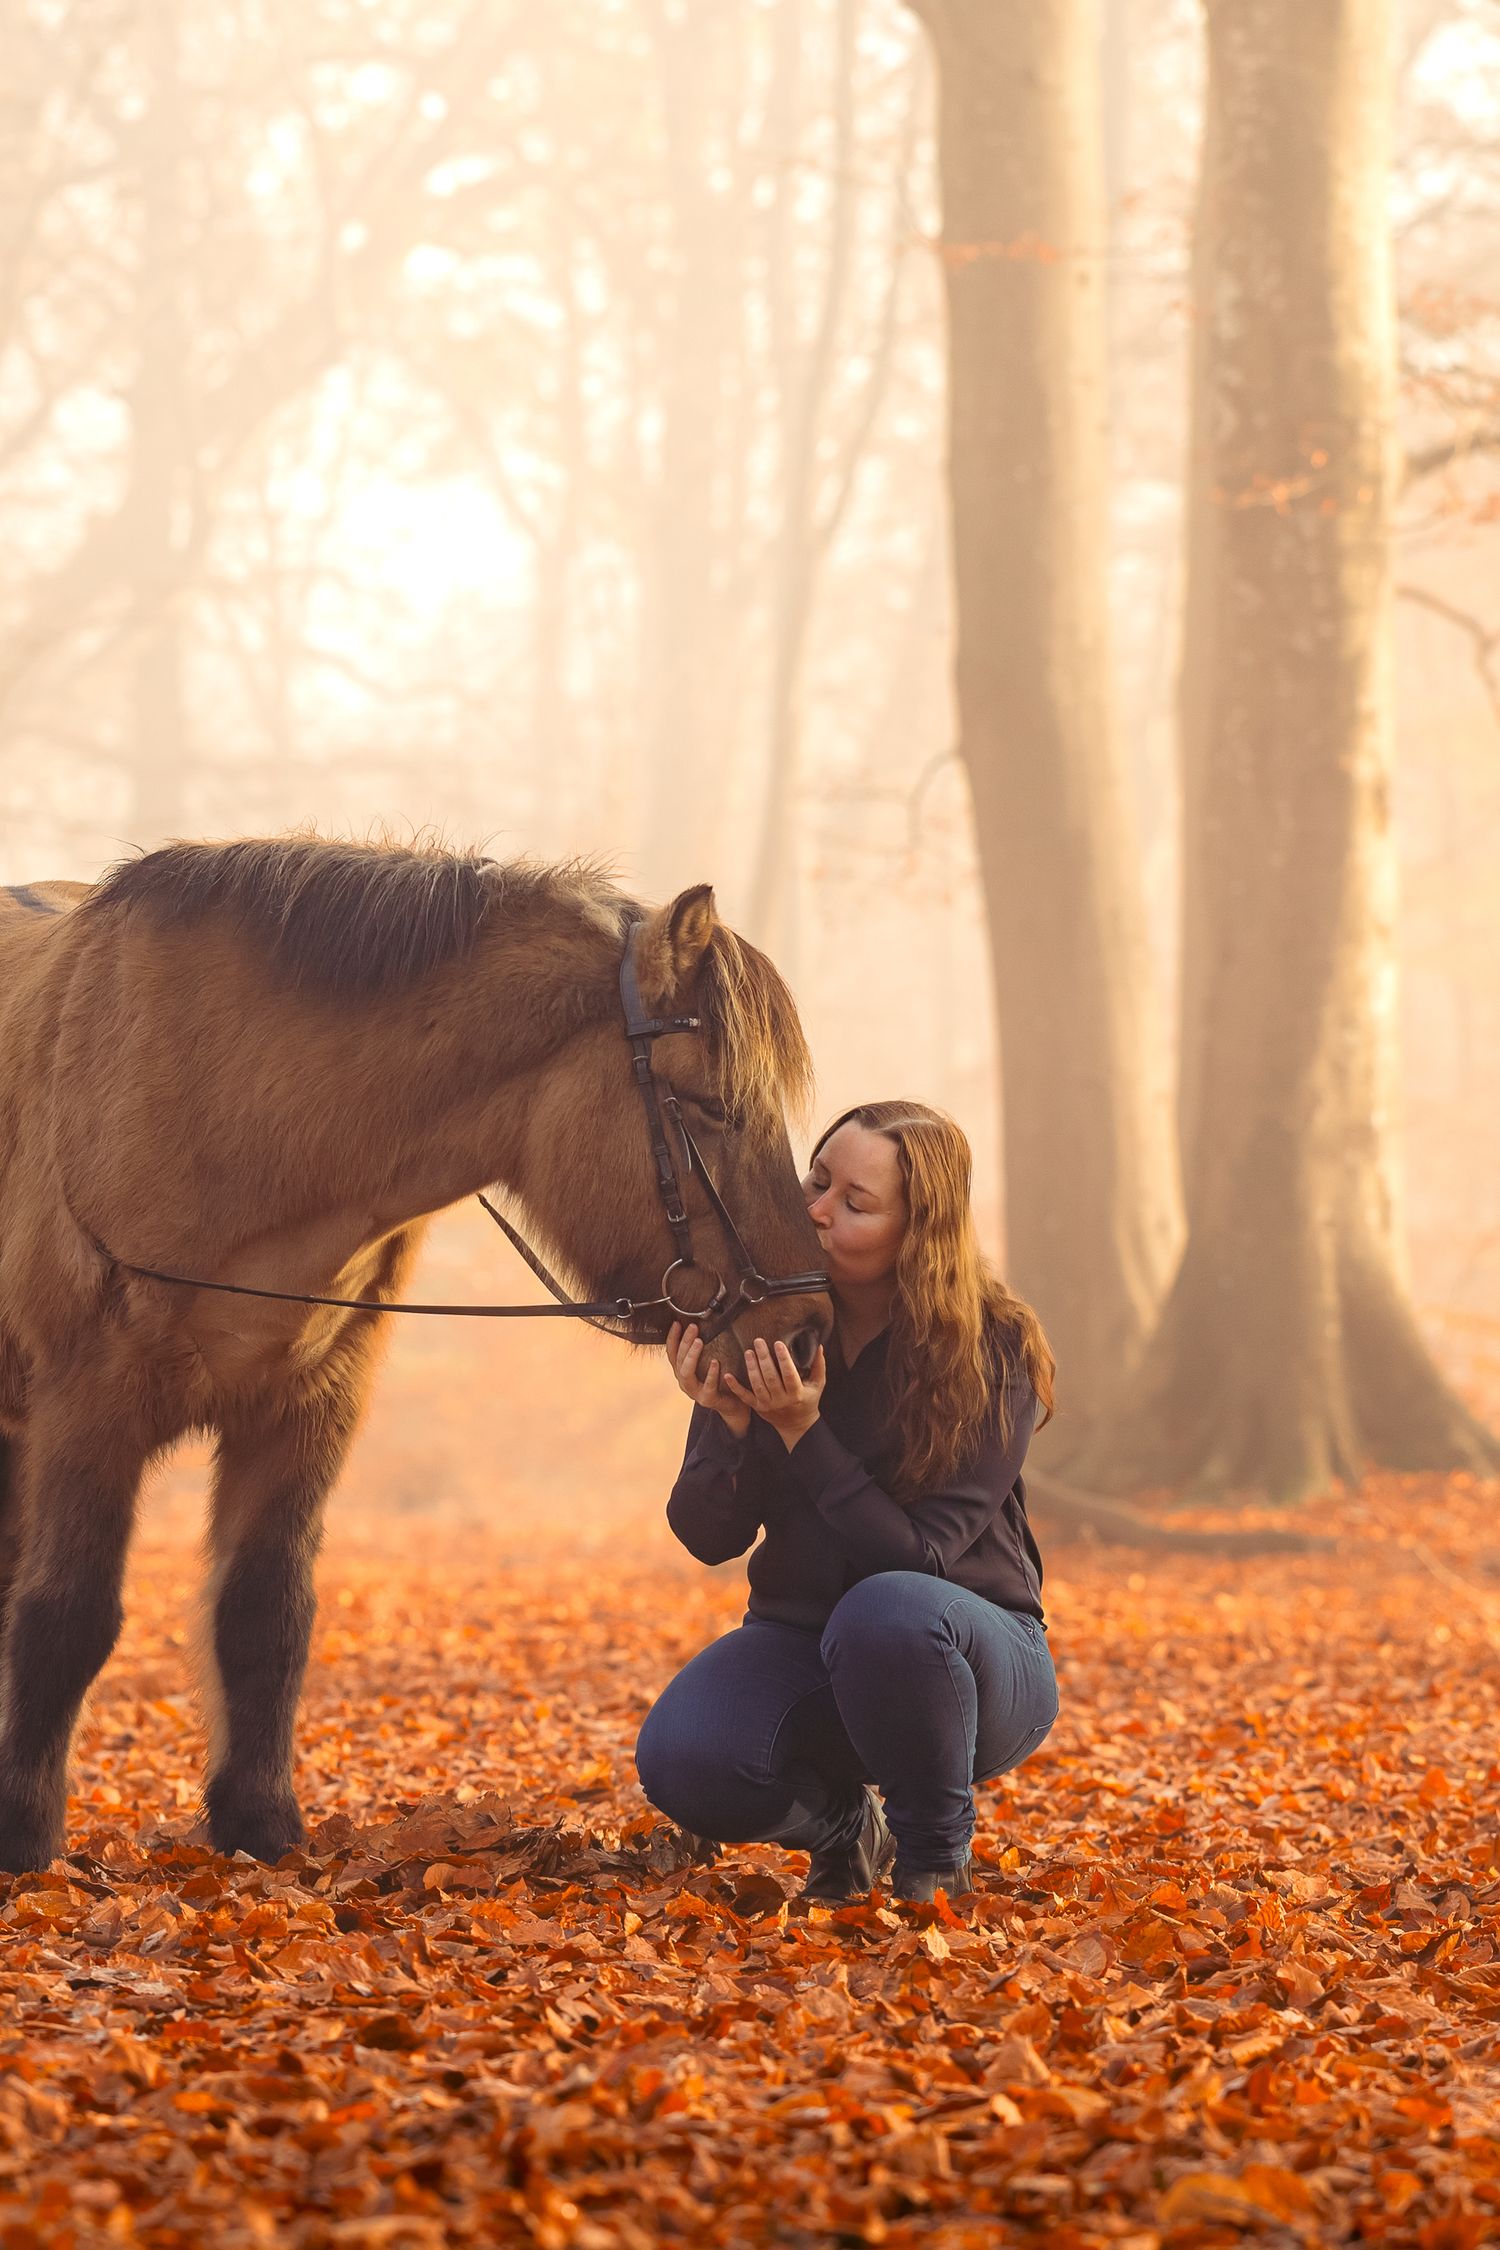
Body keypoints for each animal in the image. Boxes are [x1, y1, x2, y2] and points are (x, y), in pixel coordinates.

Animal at [0, 838, 831, 1873]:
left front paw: (257, 1826)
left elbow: (265, 1615)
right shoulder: (90, 1410)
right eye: (709, 1105)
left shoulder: (307, 1410)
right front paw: (23, 1836)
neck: (225, 1107)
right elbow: (66, 1617)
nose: (806, 1330)